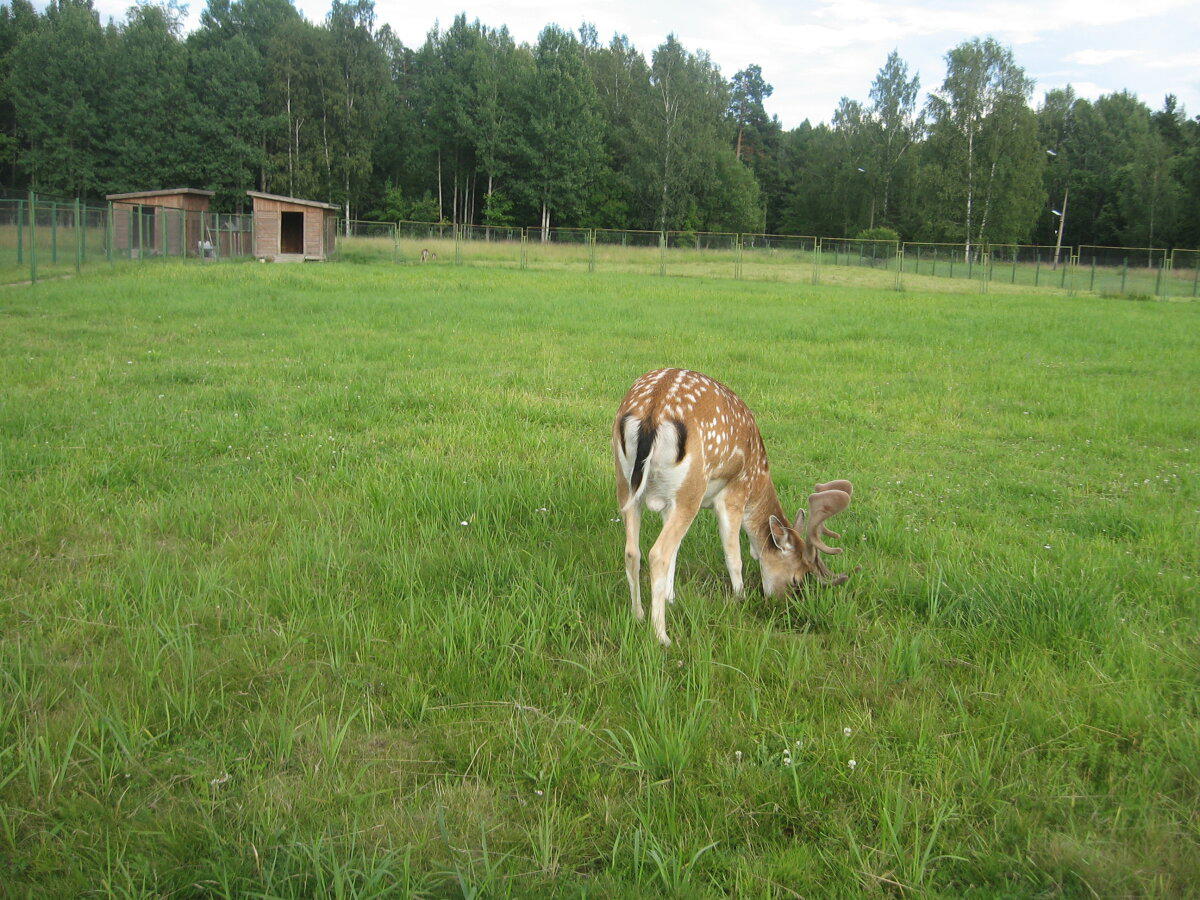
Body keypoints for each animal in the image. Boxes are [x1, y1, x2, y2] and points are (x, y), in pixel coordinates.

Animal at [614, 367, 859, 648]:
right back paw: (661, 636)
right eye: (797, 578)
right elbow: (734, 556)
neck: (758, 479)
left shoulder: (669, 503)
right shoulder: (734, 493)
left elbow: (677, 552)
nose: (783, 606)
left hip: (626, 483)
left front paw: (670, 597)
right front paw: (739, 598)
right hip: (691, 488)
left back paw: (638, 614)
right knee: (658, 553)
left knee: (633, 551)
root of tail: (652, 415)